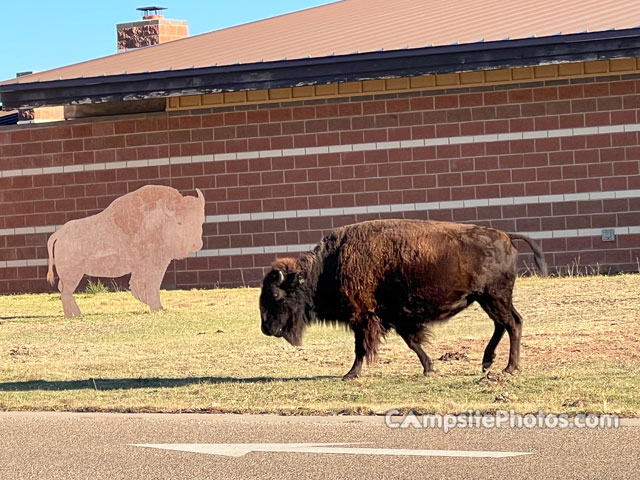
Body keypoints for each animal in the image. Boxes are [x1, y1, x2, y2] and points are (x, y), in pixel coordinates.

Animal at [47, 186, 205, 316]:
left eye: (201, 221)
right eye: (179, 222)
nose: (195, 244)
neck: (159, 222)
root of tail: (58, 234)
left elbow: (142, 285)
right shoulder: (151, 266)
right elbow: (150, 285)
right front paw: (157, 307)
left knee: (64, 292)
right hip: (73, 275)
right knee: (66, 293)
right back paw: (76, 314)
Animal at [258, 219, 548, 380]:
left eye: (275, 294)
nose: (266, 328)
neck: (328, 265)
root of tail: (505, 236)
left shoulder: (363, 317)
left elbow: (362, 348)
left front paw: (350, 374)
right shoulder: (393, 317)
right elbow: (412, 342)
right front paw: (429, 368)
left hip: (494, 297)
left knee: (513, 324)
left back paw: (509, 368)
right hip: (486, 298)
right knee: (503, 324)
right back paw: (487, 362)